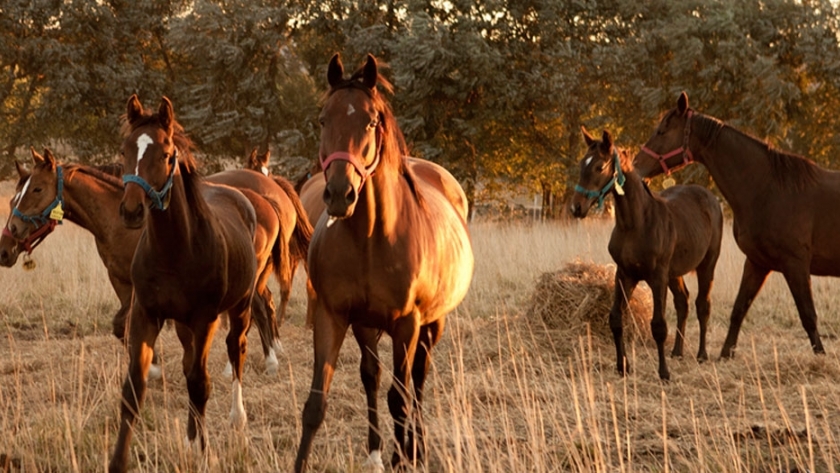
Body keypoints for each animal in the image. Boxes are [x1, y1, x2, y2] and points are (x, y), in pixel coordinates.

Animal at [108, 96, 258, 472]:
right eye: (125, 150)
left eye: (165, 153)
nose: (131, 211)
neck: (174, 251)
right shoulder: (146, 315)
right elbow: (134, 389)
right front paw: (118, 461)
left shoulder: (205, 319)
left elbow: (199, 384)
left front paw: (204, 453)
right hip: (182, 325)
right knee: (190, 361)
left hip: (240, 308)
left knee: (236, 351)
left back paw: (237, 422)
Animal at [296, 53, 476, 470]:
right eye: (323, 119)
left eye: (371, 121)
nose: (340, 194)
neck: (370, 239)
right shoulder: (333, 317)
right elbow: (316, 405)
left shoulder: (406, 325)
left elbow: (400, 398)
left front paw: (405, 456)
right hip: (366, 326)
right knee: (373, 376)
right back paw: (379, 451)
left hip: (431, 325)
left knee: (417, 381)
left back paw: (416, 447)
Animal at [572, 127, 720, 378]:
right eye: (583, 163)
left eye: (599, 167)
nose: (577, 207)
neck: (636, 224)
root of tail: (709, 197)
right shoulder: (624, 274)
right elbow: (615, 319)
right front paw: (622, 366)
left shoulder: (657, 277)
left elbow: (658, 325)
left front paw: (664, 373)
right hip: (674, 272)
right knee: (683, 302)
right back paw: (677, 352)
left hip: (706, 265)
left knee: (703, 305)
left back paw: (701, 354)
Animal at [636, 91, 832, 358]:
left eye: (662, 131)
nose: (636, 165)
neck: (770, 189)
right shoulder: (757, 262)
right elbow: (739, 309)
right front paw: (725, 354)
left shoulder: (796, 264)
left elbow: (808, 315)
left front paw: (820, 355)